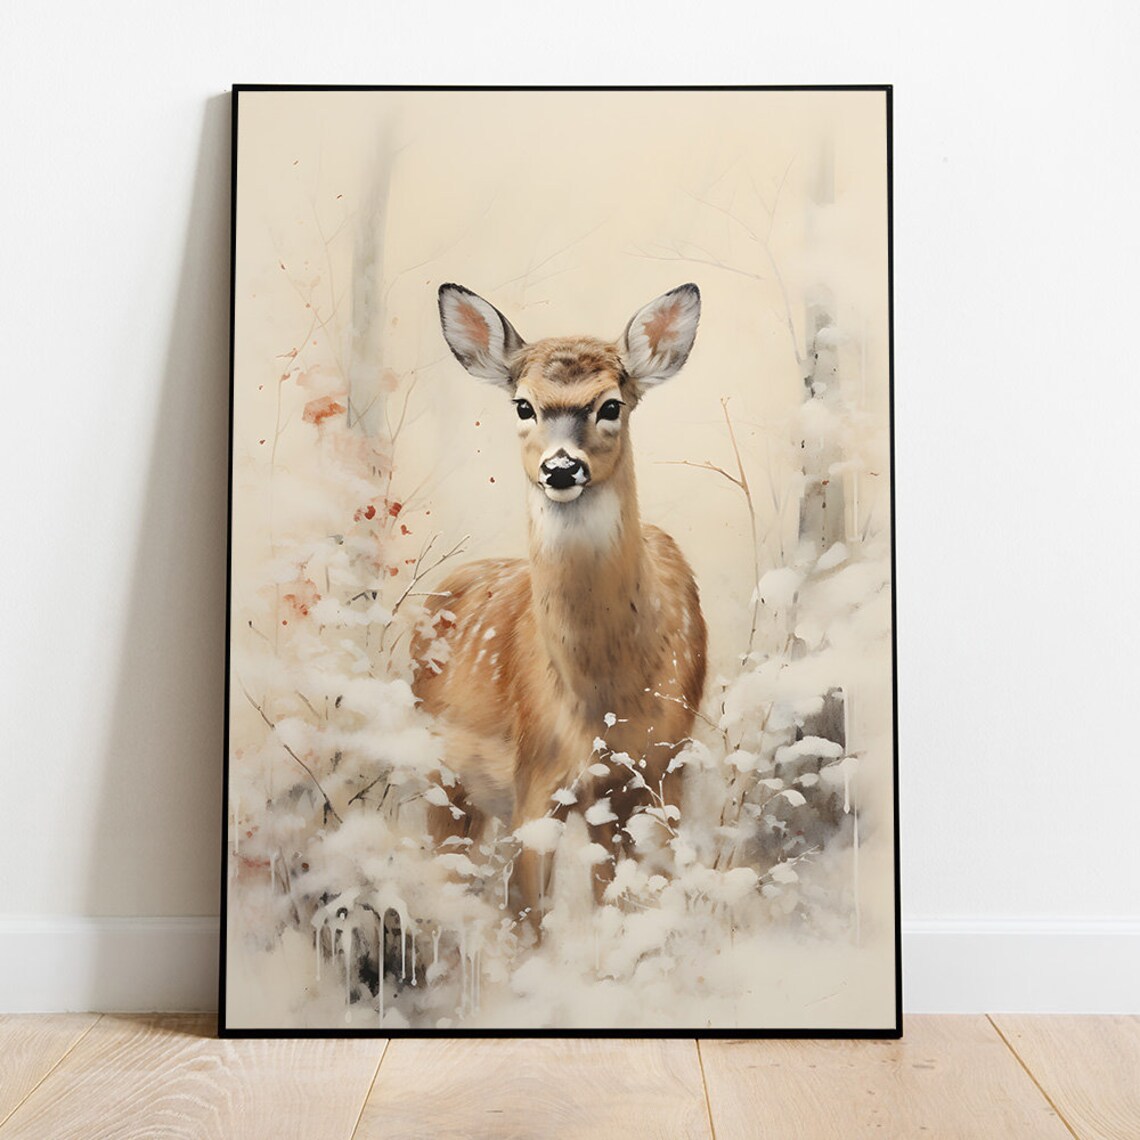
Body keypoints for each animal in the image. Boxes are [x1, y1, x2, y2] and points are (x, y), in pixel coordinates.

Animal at [412, 282, 708, 921]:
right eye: (524, 406)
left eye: (611, 406)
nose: (563, 467)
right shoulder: (537, 777)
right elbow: (528, 912)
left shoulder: (662, 771)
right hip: (442, 774)